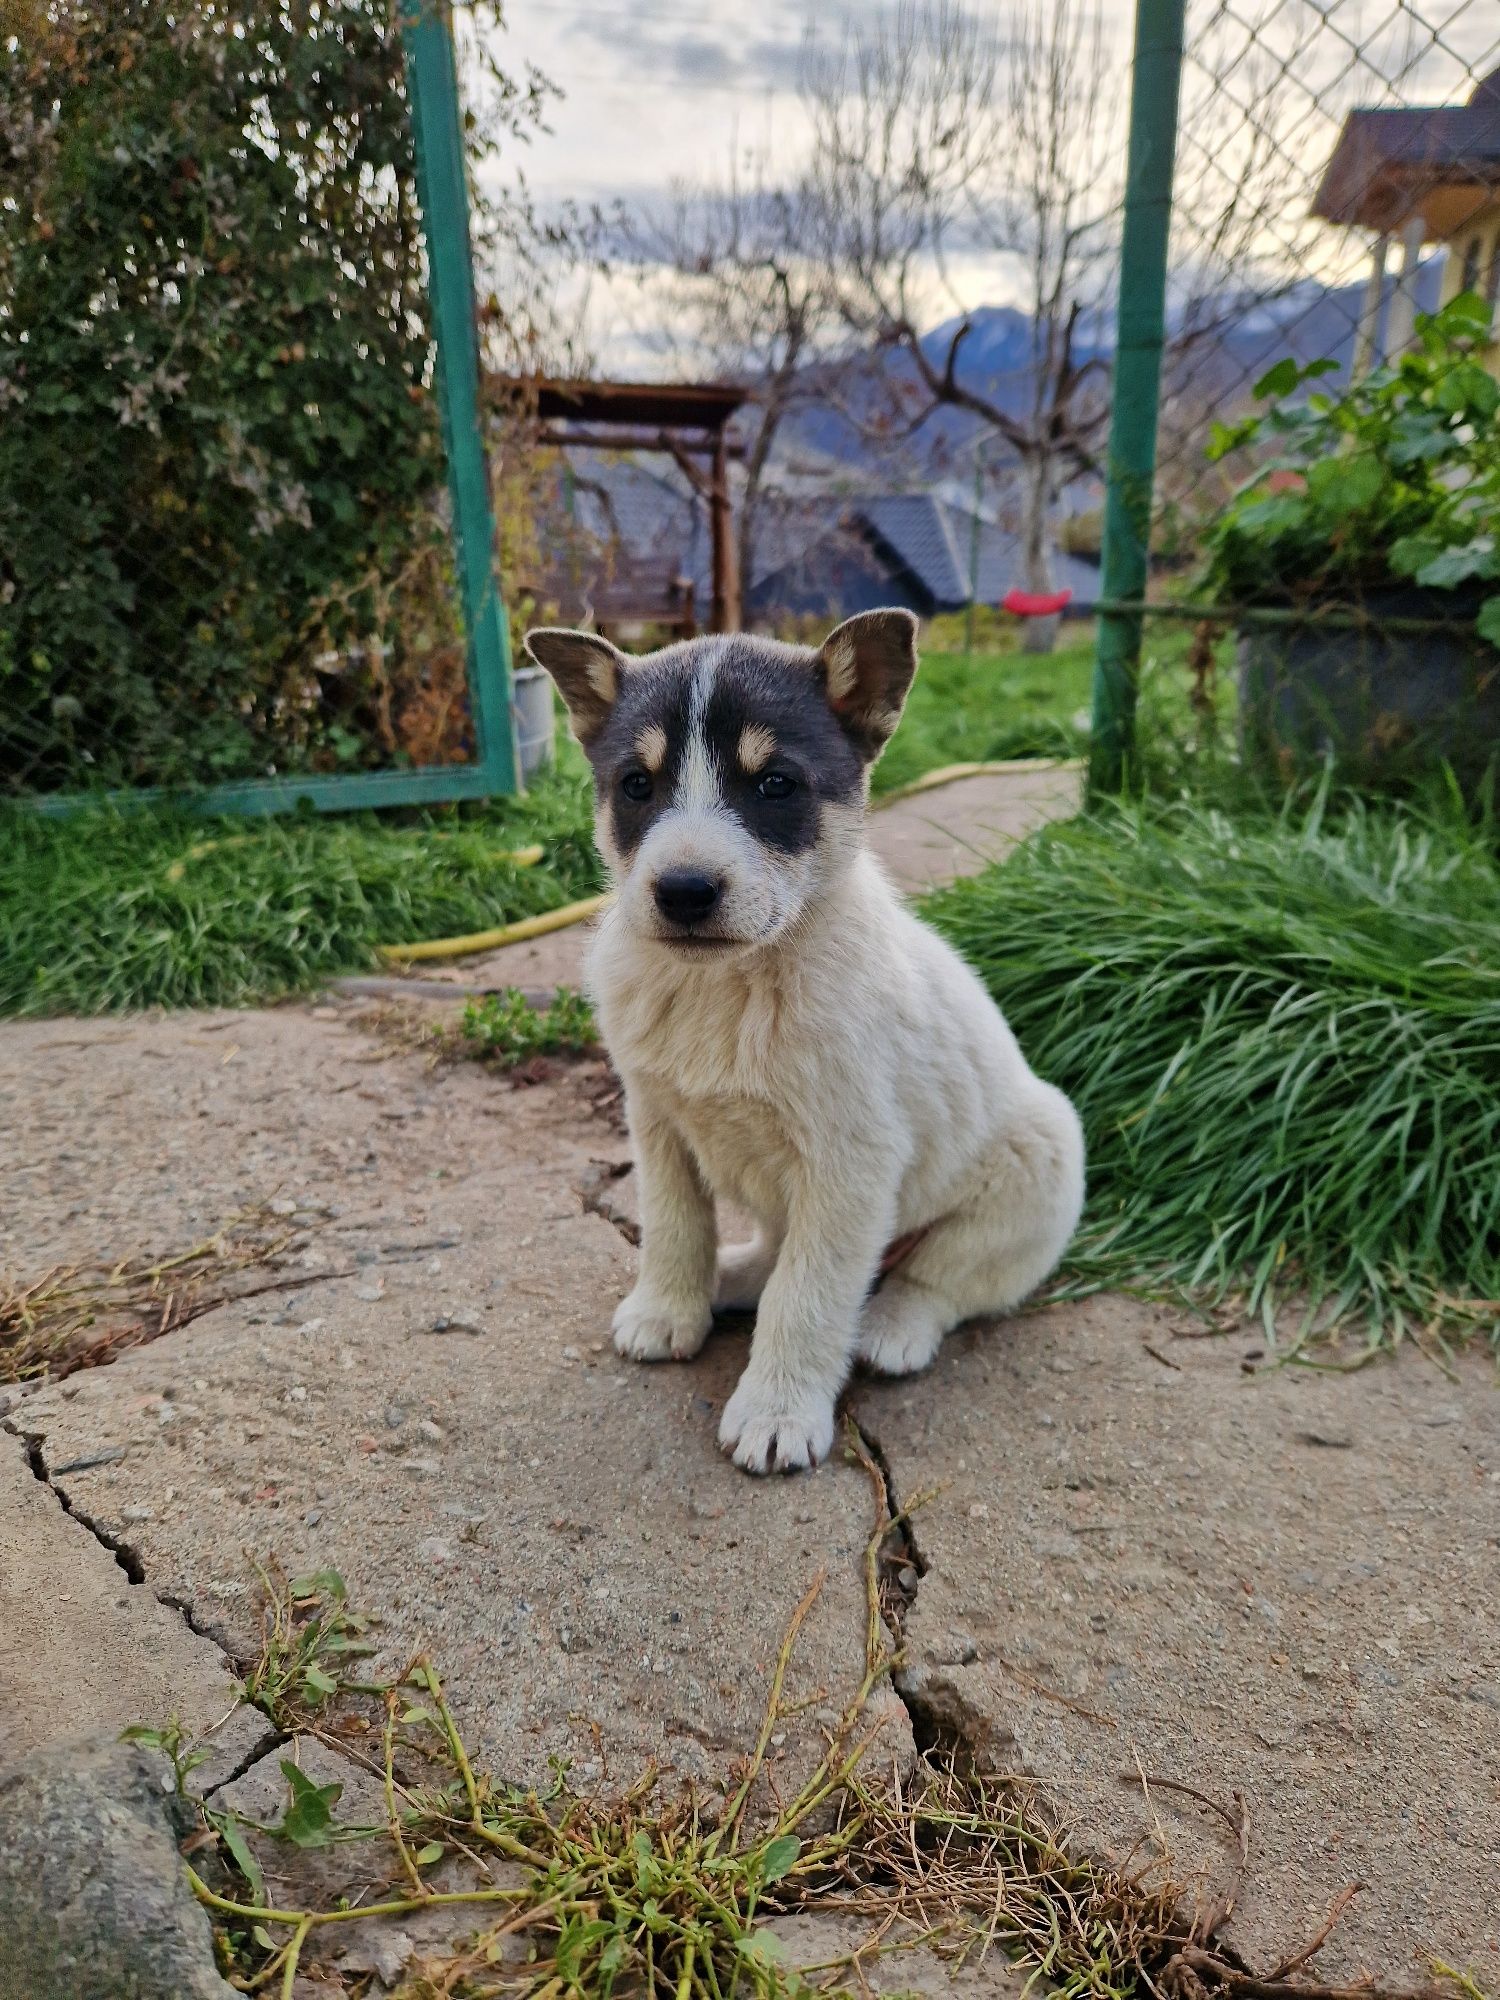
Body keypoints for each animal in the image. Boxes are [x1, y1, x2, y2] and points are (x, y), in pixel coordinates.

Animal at [524, 604, 1080, 1472]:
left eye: (775, 785)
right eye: (637, 785)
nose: (683, 891)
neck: (730, 984)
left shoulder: (850, 1165)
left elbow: (809, 1296)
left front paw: (778, 1410)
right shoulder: (657, 1125)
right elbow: (676, 1228)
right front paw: (669, 1308)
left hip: (1041, 1160)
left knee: (942, 1279)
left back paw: (891, 1326)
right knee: (776, 1250)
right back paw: (732, 1277)